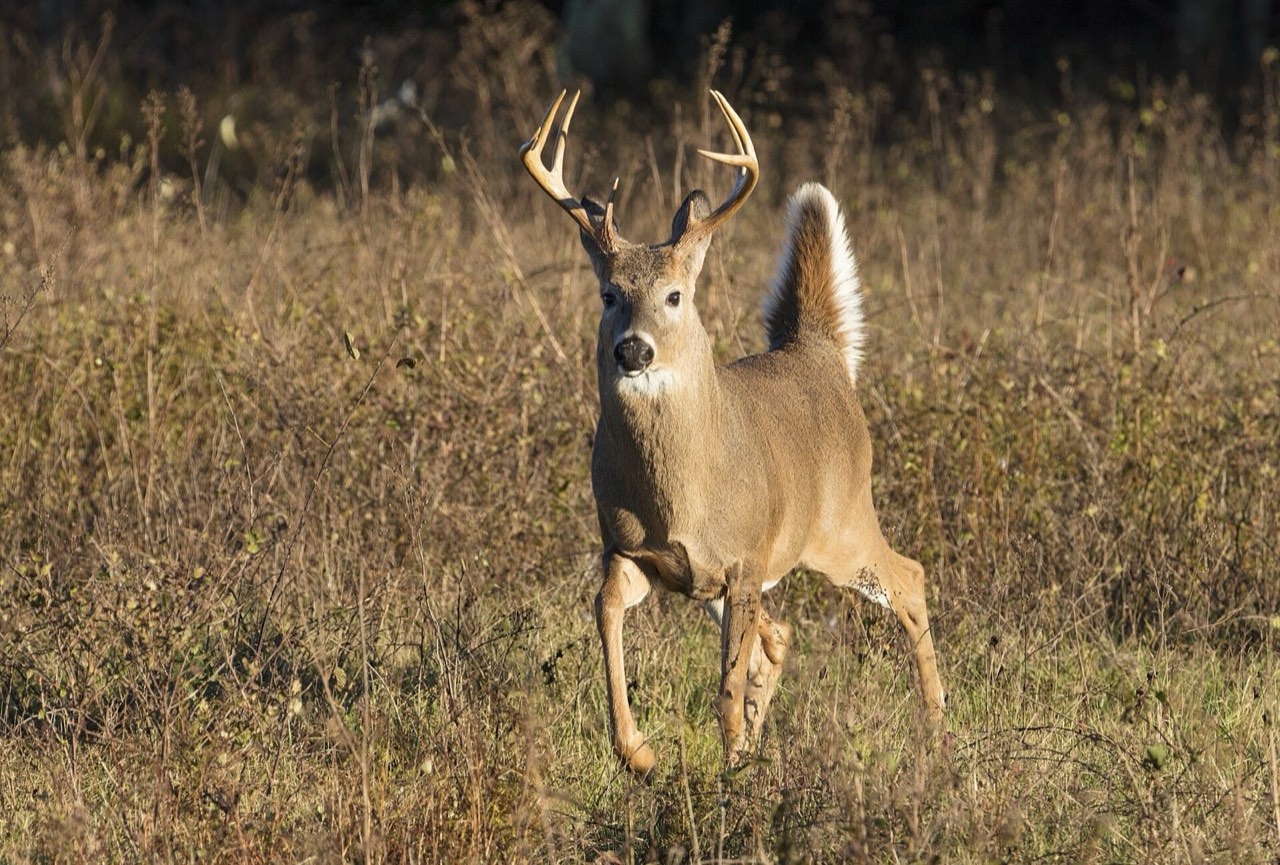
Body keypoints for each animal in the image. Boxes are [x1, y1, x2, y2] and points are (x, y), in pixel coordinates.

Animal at [520, 90, 946, 775]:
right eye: (609, 293)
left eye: (674, 295)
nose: (632, 350)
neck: (678, 497)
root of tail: (823, 353)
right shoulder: (632, 552)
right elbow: (606, 614)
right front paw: (640, 754)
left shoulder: (745, 558)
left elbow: (724, 685)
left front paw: (728, 773)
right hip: (744, 573)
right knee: (781, 634)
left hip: (841, 523)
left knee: (908, 577)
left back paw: (935, 728)